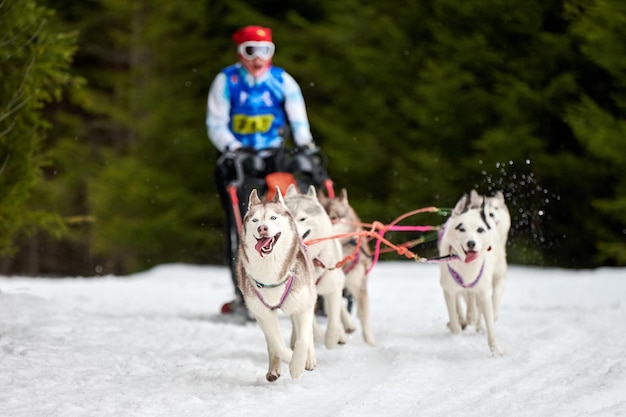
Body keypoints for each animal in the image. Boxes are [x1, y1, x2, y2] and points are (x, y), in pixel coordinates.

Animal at [238, 188, 320, 380]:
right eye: (255, 220)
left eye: (273, 218)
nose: (262, 228)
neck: (271, 274)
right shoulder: (262, 313)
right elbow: (276, 343)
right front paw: (289, 357)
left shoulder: (303, 306)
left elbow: (303, 338)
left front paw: (298, 364)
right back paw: (274, 370)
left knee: (306, 334)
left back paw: (309, 359)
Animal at [282, 184, 346, 348]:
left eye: (302, 218)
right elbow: (310, 322)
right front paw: (316, 336)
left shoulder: (333, 289)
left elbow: (334, 319)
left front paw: (331, 339)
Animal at [320, 188, 372, 344]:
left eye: (333, 217)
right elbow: (338, 310)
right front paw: (345, 328)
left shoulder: (358, 284)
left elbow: (364, 313)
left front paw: (370, 342)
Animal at [436, 192, 504, 354]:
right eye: (461, 229)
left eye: (480, 230)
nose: (471, 243)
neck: (467, 267)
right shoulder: (449, 290)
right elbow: (454, 317)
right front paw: (456, 332)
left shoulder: (484, 292)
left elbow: (489, 321)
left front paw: (495, 349)